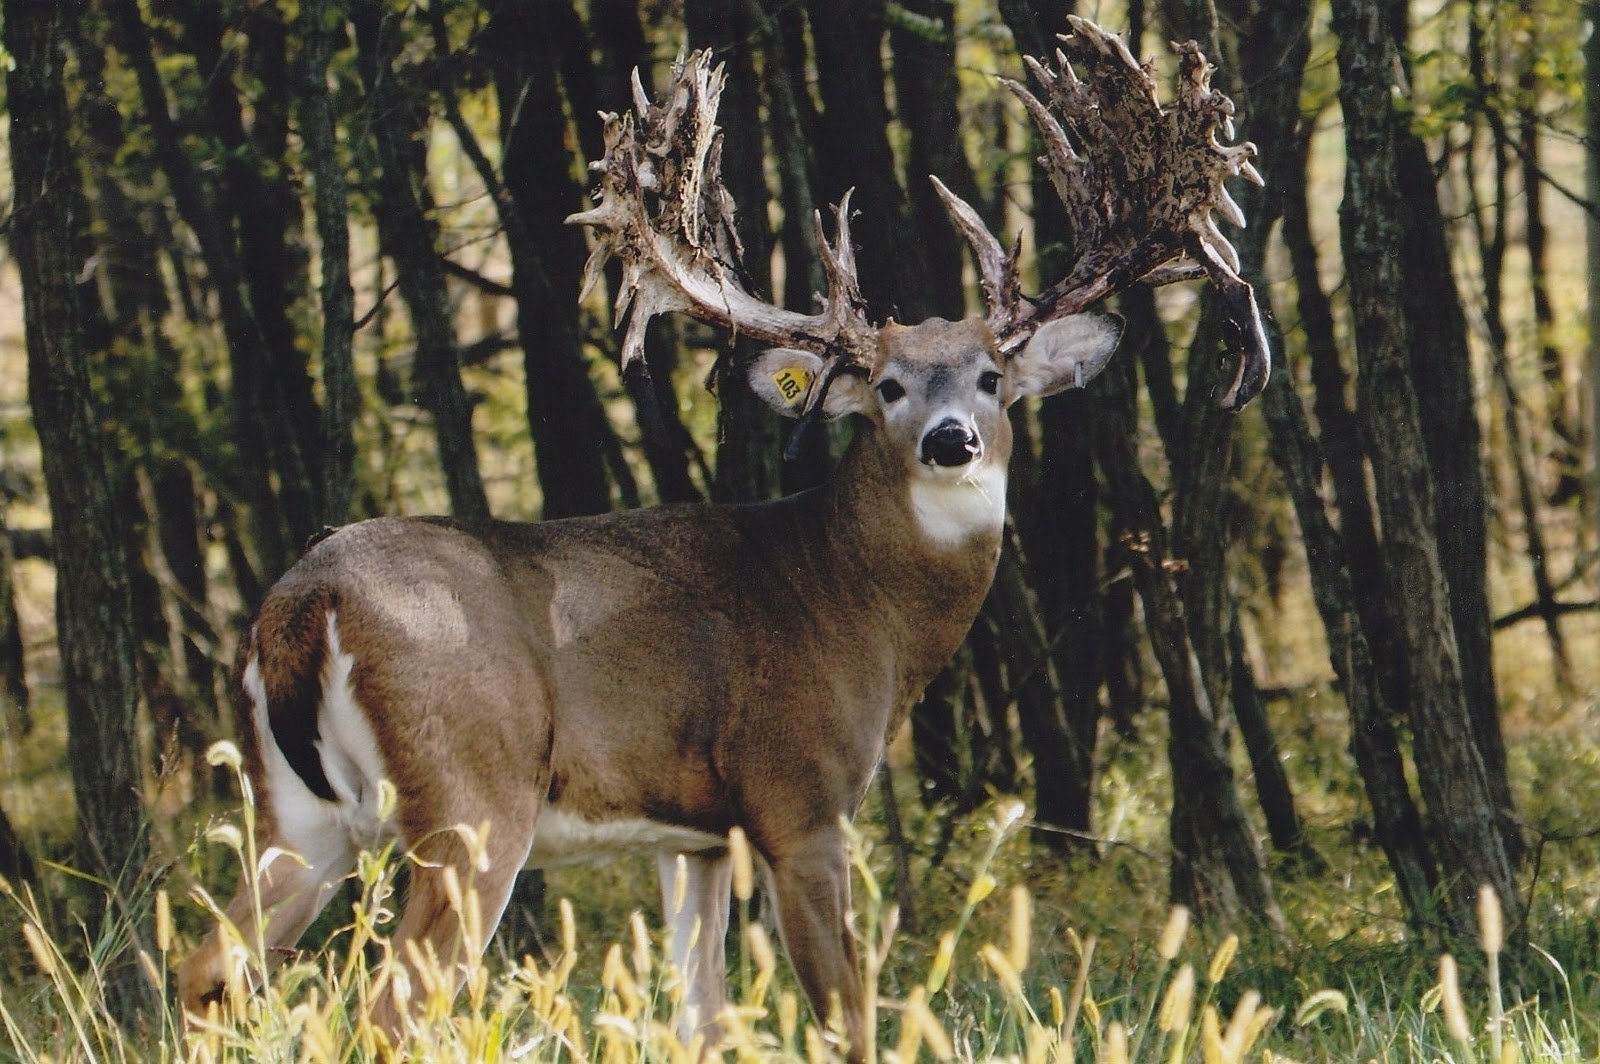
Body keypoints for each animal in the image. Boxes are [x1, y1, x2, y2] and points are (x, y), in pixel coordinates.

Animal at [181, 20, 1267, 1056]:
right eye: (886, 387)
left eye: (993, 379)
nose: (950, 439)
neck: (854, 603)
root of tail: (303, 601)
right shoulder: (798, 794)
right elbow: (845, 1015)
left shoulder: (693, 836)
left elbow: (697, 1015)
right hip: (470, 797)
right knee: (386, 1010)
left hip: (297, 811)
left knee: (207, 974)